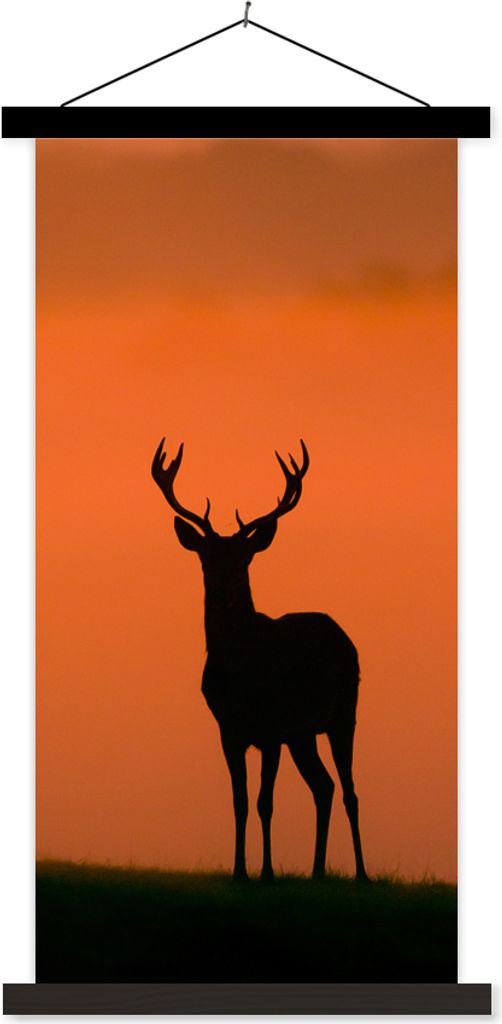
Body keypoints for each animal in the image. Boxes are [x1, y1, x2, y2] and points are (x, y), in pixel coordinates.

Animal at [152, 438, 368, 883]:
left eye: (244, 558)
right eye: (205, 557)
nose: (223, 592)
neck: (241, 673)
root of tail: (344, 636)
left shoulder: (270, 730)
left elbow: (265, 802)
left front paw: (266, 873)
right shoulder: (229, 730)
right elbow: (240, 801)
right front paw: (239, 871)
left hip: (344, 714)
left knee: (350, 790)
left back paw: (361, 874)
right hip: (303, 734)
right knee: (324, 786)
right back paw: (317, 872)